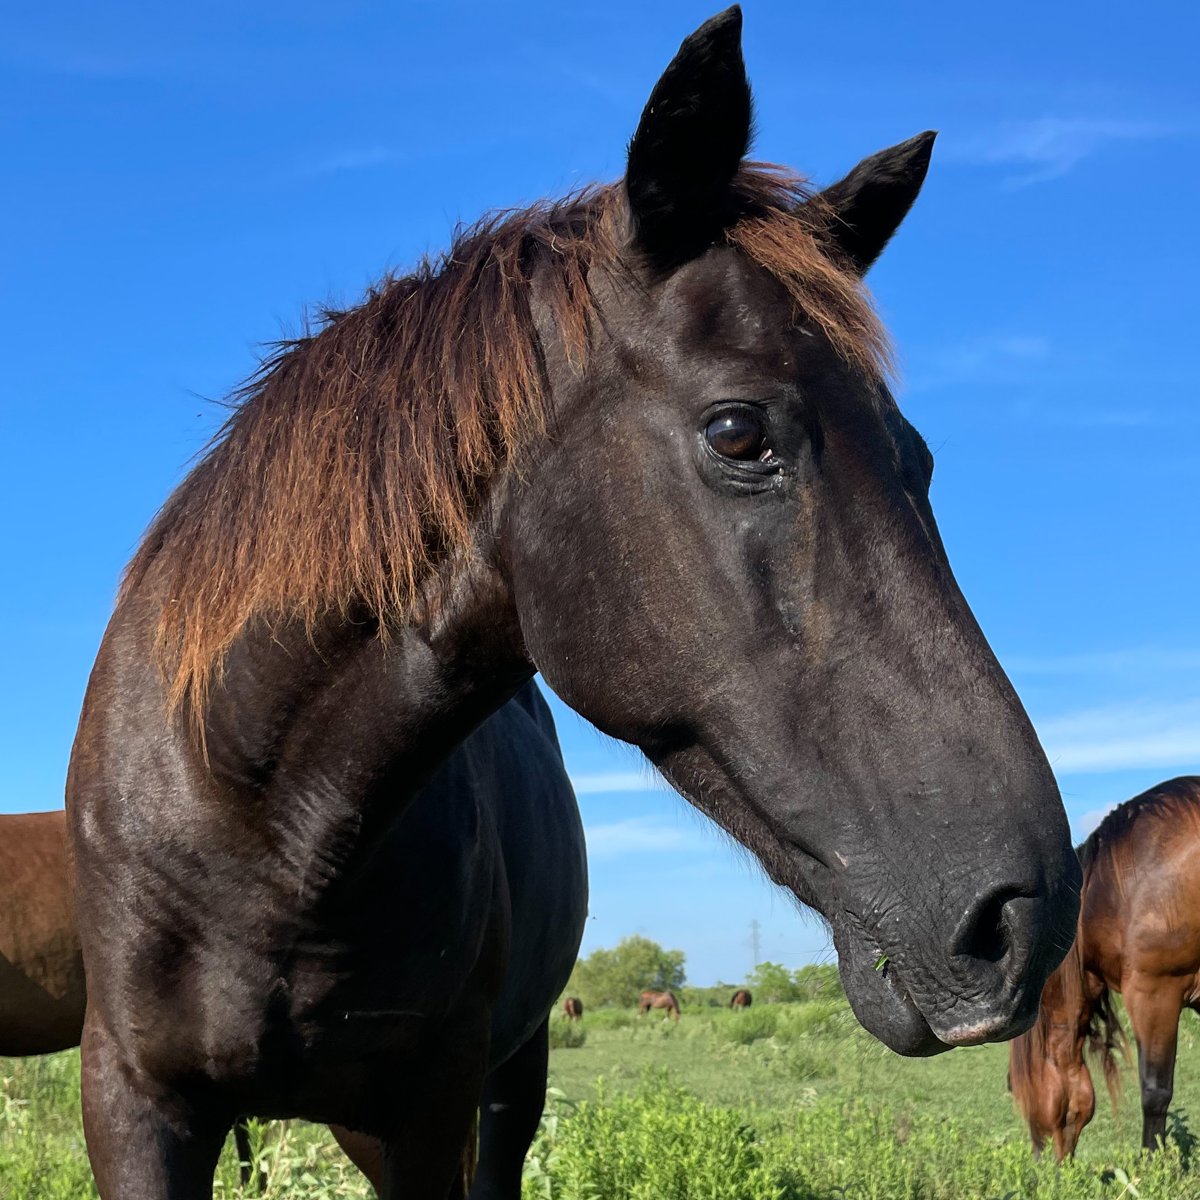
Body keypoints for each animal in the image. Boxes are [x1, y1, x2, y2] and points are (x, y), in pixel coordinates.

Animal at [65, 9, 1079, 1198]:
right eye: (740, 432)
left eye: (915, 456)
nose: (1026, 917)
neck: (256, 821)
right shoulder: (135, 1102)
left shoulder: (425, 1111)